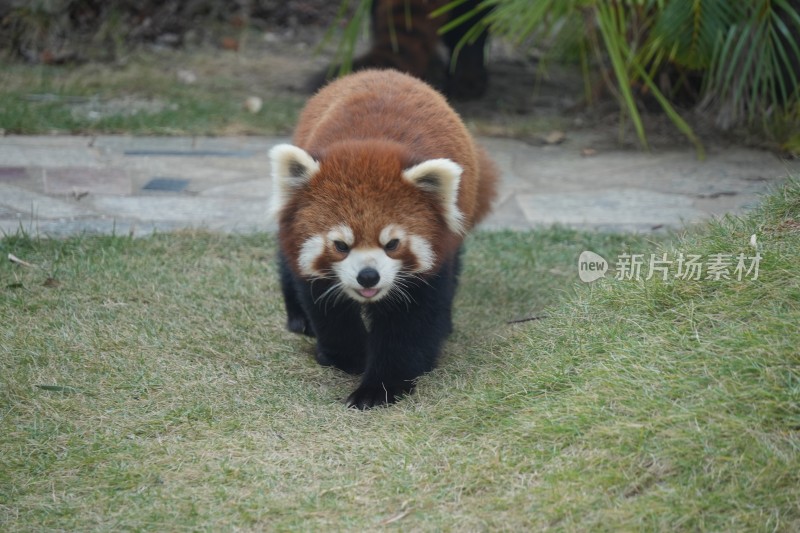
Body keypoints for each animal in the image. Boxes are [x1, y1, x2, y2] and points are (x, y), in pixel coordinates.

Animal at [272, 67, 496, 408]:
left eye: (392, 244)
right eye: (341, 245)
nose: (368, 276)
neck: (371, 147)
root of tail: (382, 70)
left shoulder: (433, 259)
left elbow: (409, 325)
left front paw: (379, 388)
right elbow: (327, 309)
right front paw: (348, 356)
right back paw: (299, 320)